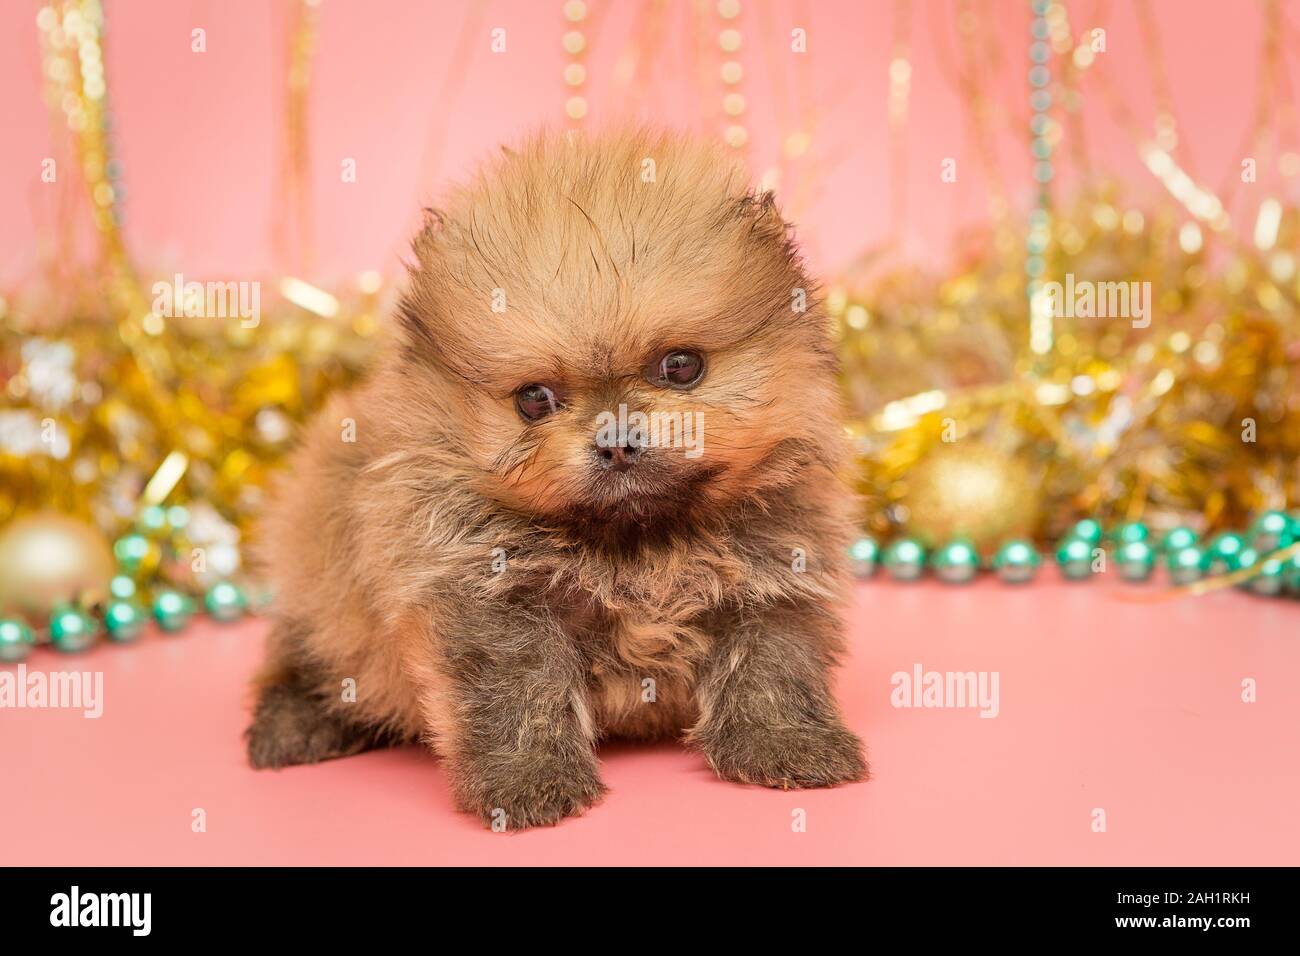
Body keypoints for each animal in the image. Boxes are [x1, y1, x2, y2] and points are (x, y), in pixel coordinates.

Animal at [248, 128, 868, 832]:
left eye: (681, 365)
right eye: (534, 399)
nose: (616, 439)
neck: (638, 542)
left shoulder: (773, 577)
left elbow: (773, 668)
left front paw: (789, 746)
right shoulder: (487, 596)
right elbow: (519, 695)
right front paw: (527, 782)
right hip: (321, 586)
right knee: (302, 655)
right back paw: (295, 723)